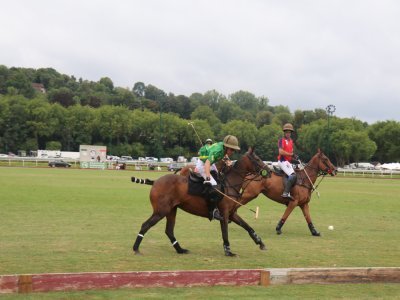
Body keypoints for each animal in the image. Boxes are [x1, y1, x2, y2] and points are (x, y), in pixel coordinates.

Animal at [132, 148, 268, 255]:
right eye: (257, 159)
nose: (269, 171)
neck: (229, 183)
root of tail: (155, 182)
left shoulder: (232, 213)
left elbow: (247, 226)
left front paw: (260, 242)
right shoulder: (224, 213)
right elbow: (225, 232)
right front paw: (228, 251)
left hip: (171, 210)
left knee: (169, 230)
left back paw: (180, 250)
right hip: (161, 210)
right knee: (146, 225)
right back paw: (136, 249)